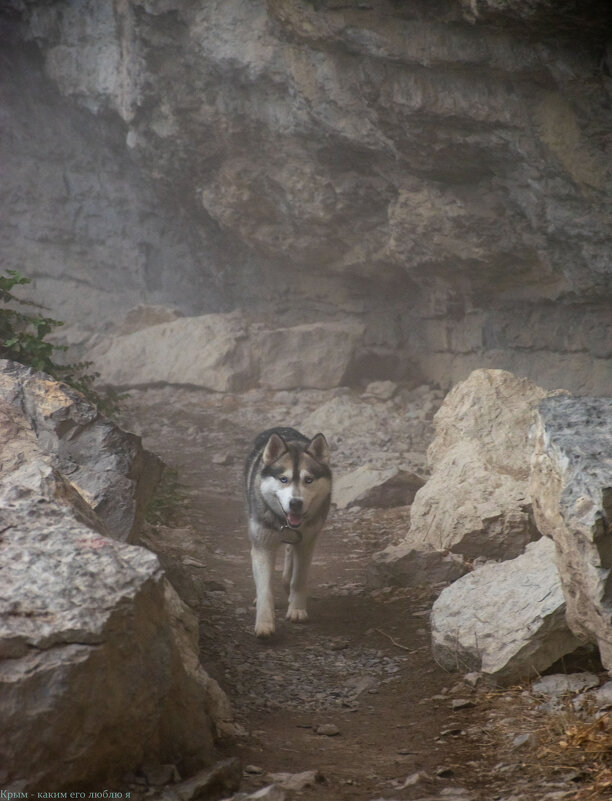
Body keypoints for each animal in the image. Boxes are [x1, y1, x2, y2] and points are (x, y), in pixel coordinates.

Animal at [245, 424, 332, 636]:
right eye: (283, 479)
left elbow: (298, 579)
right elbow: (265, 589)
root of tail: (281, 427)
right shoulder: (262, 547)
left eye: (308, 480)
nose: (295, 503)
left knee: (290, 556)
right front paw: (264, 623)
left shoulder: (307, 543)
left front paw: (297, 610)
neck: (283, 522)